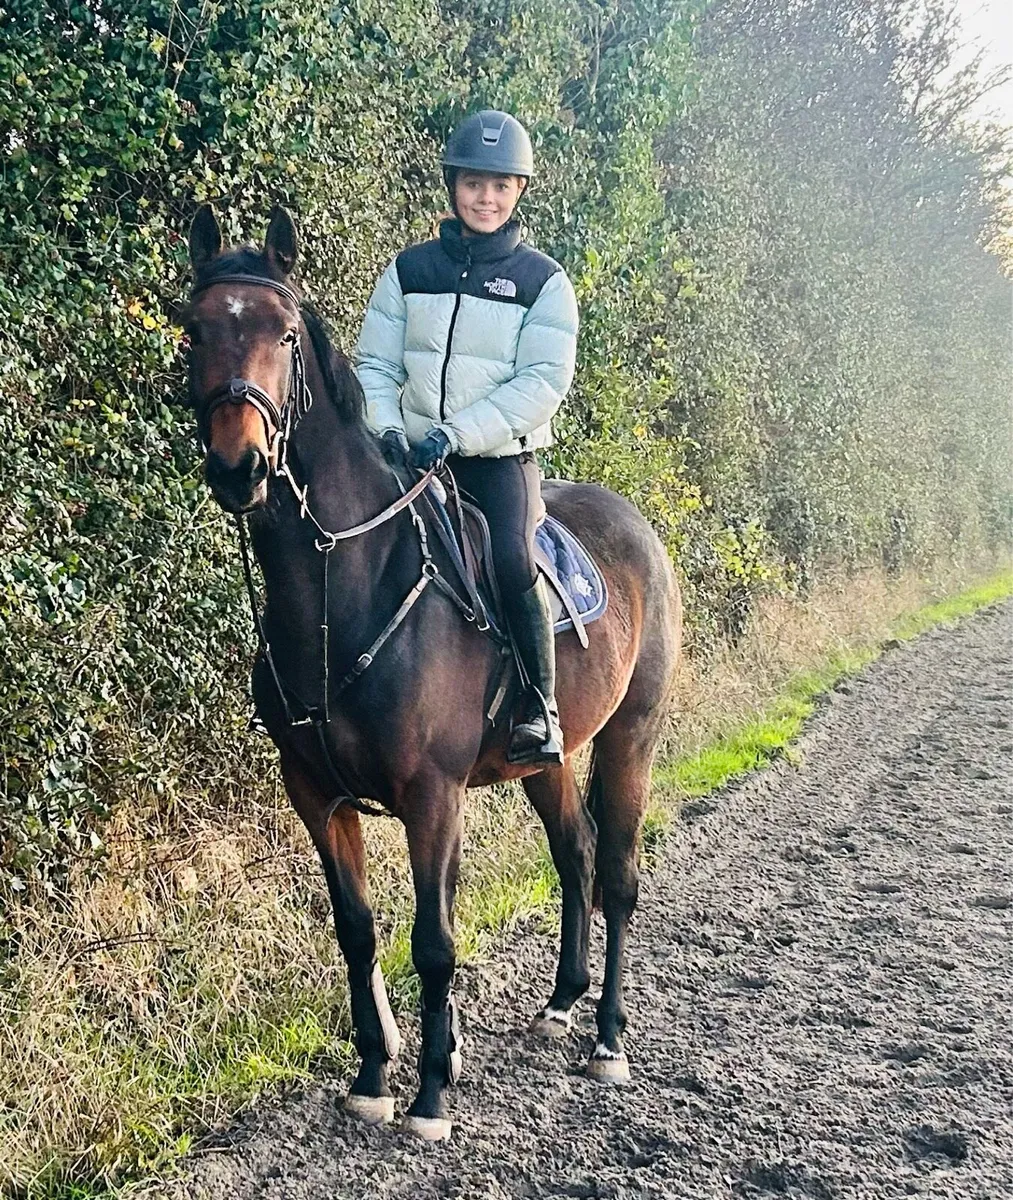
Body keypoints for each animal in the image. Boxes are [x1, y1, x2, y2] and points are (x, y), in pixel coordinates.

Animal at [179, 204, 681, 1141]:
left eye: (284, 333)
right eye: (195, 330)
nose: (240, 464)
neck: (346, 590)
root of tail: (635, 525)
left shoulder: (432, 794)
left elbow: (433, 939)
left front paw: (431, 1095)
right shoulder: (316, 794)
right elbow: (358, 932)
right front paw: (374, 1076)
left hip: (631, 738)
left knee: (618, 877)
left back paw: (606, 1039)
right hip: (546, 761)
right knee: (574, 854)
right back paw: (560, 1003)